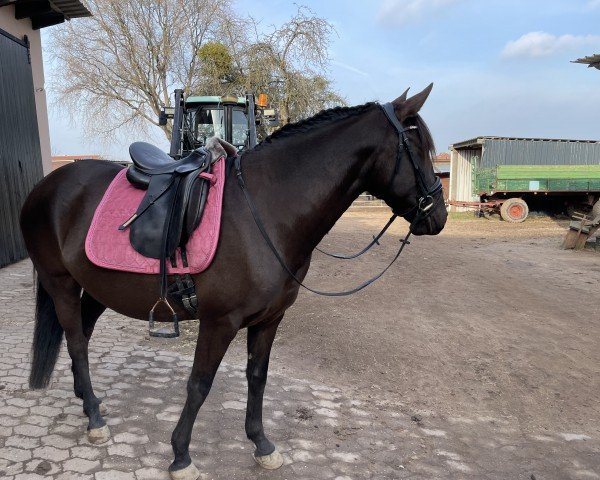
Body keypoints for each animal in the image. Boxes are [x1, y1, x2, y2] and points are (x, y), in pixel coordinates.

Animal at [19, 84, 446, 478]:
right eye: (416, 146)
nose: (438, 216)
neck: (267, 209)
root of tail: (47, 185)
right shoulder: (219, 322)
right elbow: (199, 384)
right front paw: (181, 456)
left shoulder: (269, 320)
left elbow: (257, 378)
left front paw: (262, 444)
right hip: (60, 283)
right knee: (76, 342)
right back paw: (94, 418)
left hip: (96, 288)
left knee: (83, 336)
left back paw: (87, 401)